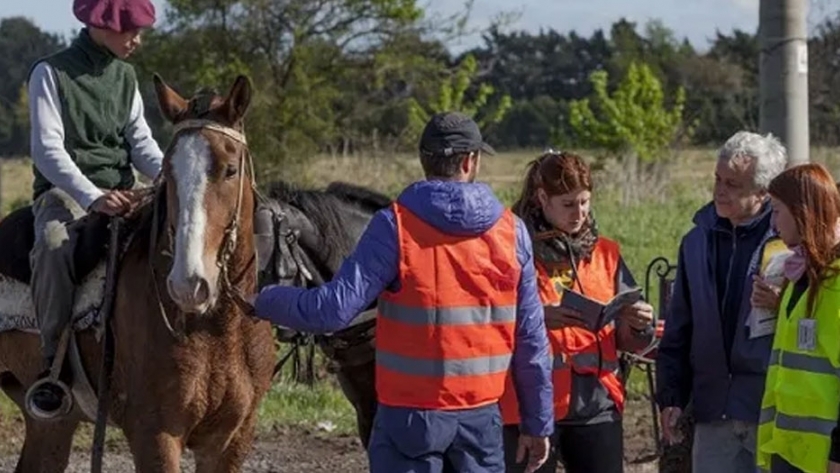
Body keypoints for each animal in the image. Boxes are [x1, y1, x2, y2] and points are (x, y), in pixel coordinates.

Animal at [0, 73, 275, 472]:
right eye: (169, 173)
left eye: (230, 169)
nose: (188, 284)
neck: (216, 329)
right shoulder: (155, 435)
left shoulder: (230, 441)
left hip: (51, 424)